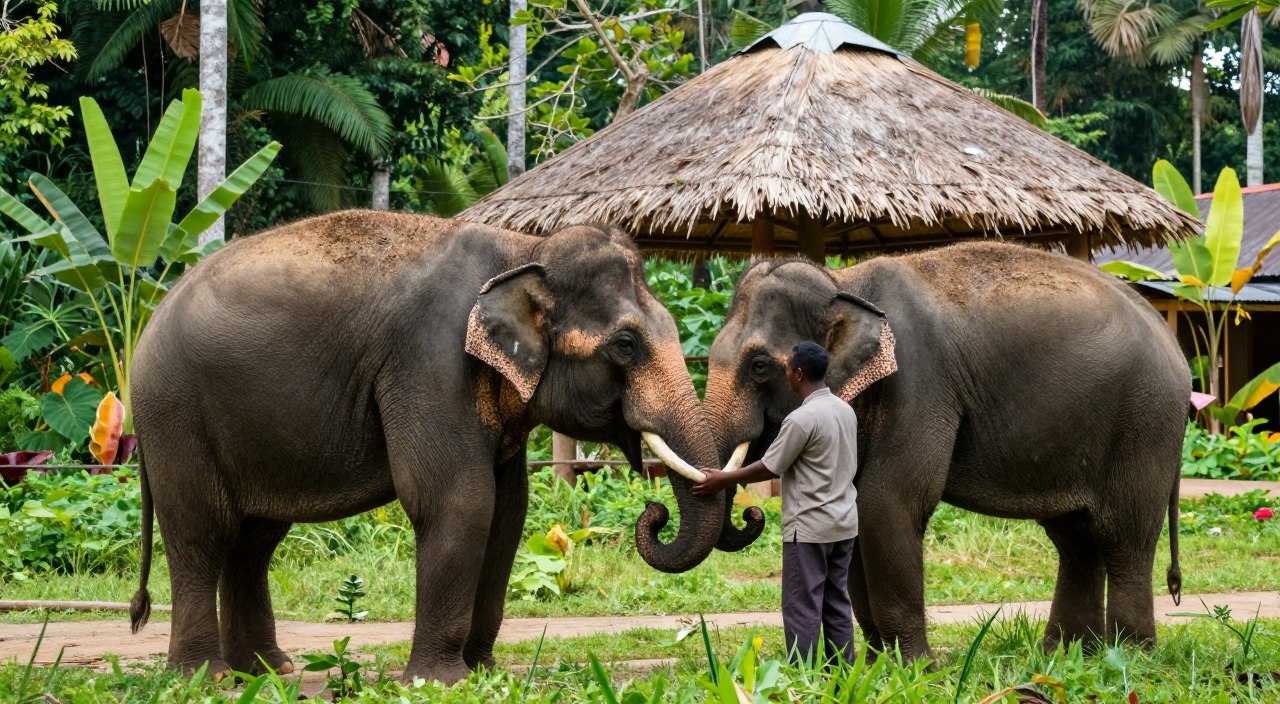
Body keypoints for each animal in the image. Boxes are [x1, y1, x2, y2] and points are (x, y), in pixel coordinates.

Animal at [128, 211, 731, 683]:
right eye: (625, 346)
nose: (654, 512)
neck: (525, 249)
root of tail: (148, 321)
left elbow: (508, 513)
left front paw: (482, 672)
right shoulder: (429, 363)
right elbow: (458, 501)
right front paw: (439, 681)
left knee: (254, 540)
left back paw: (266, 672)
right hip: (175, 414)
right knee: (202, 533)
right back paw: (206, 678)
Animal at [705, 241, 1187, 660]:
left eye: (759, 365)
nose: (750, 513)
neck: (844, 283)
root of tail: (1174, 342)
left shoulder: (920, 382)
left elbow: (887, 503)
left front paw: (917, 668)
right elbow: (858, 508)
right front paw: (878, 666)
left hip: (1145, 423)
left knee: (1124, 536)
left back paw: (1129, 656)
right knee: (1077, 540)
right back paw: (1066, 654)